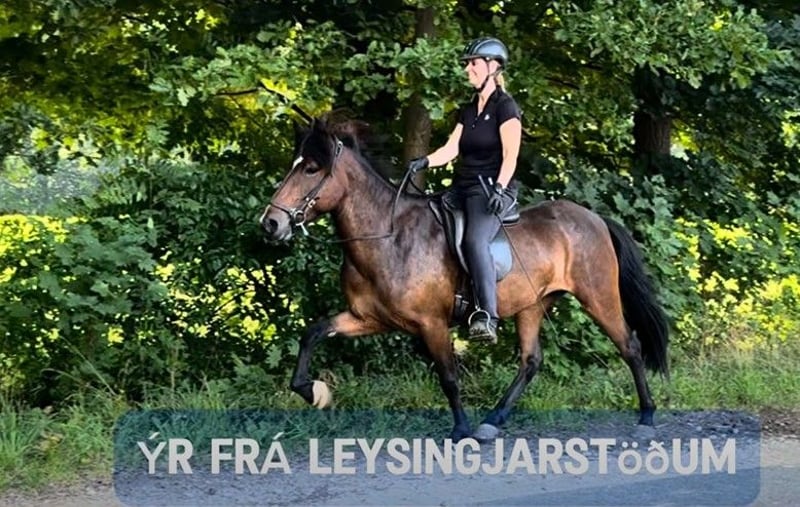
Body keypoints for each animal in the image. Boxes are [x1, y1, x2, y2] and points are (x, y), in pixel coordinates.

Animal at [260, 116, 669, 442]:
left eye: (312, 169)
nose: (271, 223)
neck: (387, 236)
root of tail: (593, 217)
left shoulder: (432, 323)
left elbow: (449, 377)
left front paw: (460, 430)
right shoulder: (368, 318)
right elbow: (313, 332)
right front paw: (313, 391)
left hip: (597, 295)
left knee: (629, 347)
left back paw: (647, 418)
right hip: (533, 304)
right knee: (530, 361)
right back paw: (493, 421)